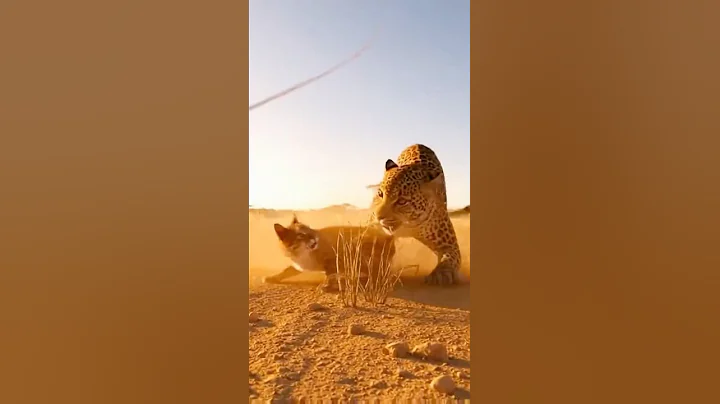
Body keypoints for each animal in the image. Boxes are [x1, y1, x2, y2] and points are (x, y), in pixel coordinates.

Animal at [266, 214, 396, 292]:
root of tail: (389, 237)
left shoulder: (335, 257)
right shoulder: (299, 265)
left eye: (309, 229)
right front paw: (272, 277)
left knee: (383, 274)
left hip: (356, 243)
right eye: (301, 235)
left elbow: (330, 274)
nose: (315, 238)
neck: (302, 253)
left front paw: (327, 285)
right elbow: (286, 270)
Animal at [369, 144, 462, 286]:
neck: (409, 224)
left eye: (402, 201)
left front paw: (440, 274)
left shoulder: (449, 244)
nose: (378, 217)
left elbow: (449, 257)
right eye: (380, 194)